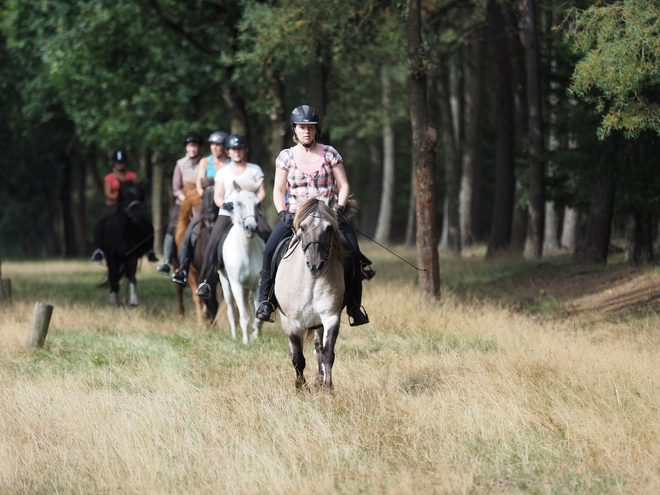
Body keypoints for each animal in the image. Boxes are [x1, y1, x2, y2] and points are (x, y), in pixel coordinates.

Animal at [219, 178, 266, 344]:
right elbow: (244, 318)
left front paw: (255, 337)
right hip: (226, 284)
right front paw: (246, 342)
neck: (246, 252)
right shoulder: (237, 285)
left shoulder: (257, 285)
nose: (251, 228)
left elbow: (258, 317)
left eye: (258, 204)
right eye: (238, 203)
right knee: (232, 312)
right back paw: (234, 337)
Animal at [272, 199, 346, 392]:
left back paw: (319, 380)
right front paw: (300, 388)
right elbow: (298, 358)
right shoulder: (292, 322)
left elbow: (328, 353)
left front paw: (328, 388)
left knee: (319, 347)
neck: (311, 280)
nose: (315, 265)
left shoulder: (330, 316)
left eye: (329, 228)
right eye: (303, 227)